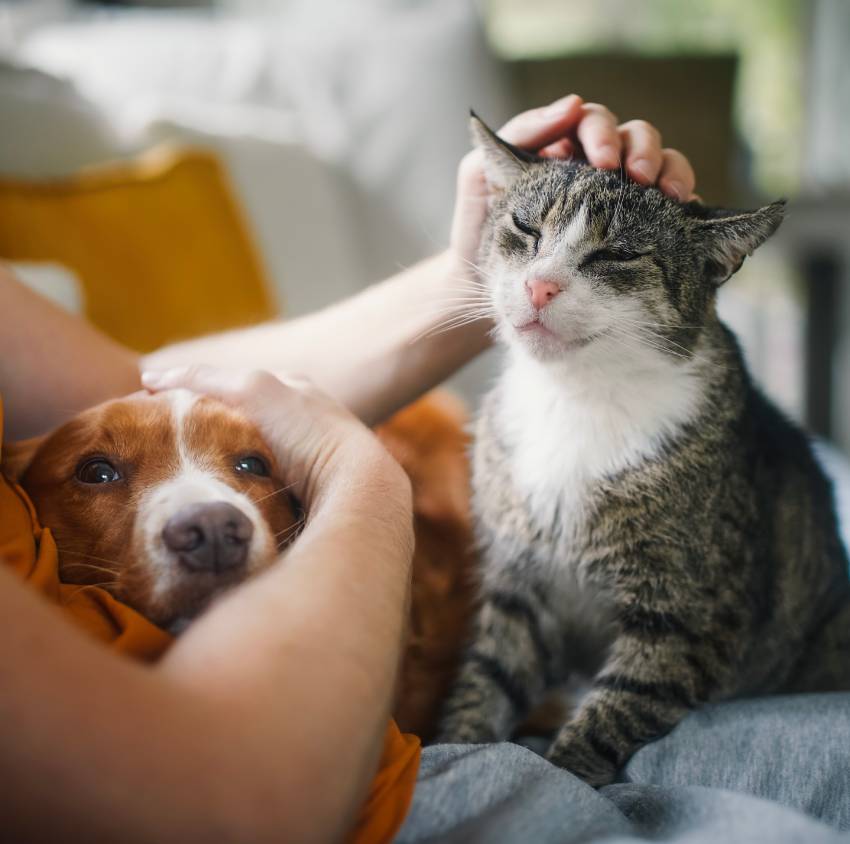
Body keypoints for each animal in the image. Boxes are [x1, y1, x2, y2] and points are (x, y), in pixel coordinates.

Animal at [434, 115, 848, 788]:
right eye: (526, 228)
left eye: (617, 254)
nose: (540, 286)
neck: (576, 398)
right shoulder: (519, 592)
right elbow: (484, 683)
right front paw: (456, 751)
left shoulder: (688, 618)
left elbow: (611, 714)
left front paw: (566, 773)